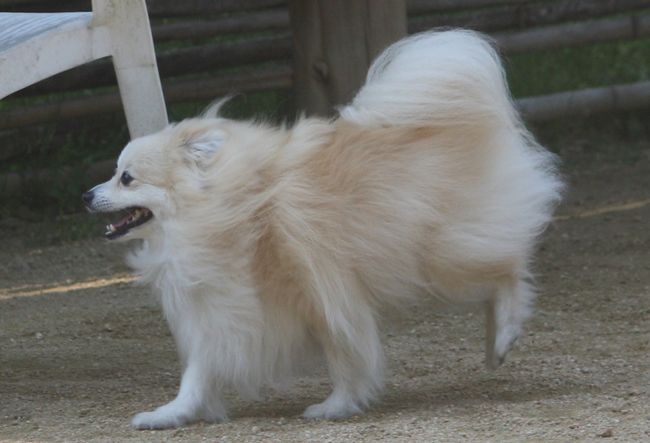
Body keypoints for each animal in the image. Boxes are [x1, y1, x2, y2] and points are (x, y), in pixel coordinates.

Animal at [83, 30, 563, 429]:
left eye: (126, 178)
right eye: (114, 174)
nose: (87, 194)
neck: (233, 211)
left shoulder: (321, 292)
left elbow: (344, 354)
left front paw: (337, 406)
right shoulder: (224, 309)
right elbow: (198, 372)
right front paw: (171, 414)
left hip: (443, 251)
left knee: (509, 271)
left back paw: (504, 333)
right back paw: (494, 344)